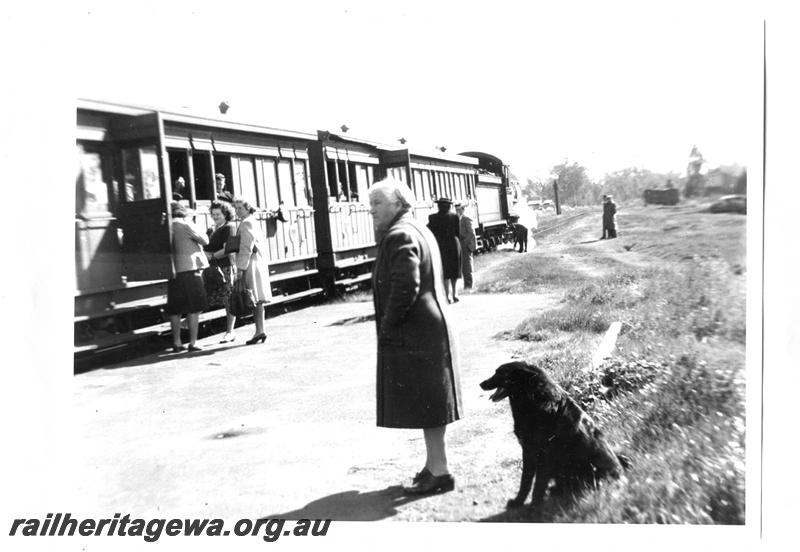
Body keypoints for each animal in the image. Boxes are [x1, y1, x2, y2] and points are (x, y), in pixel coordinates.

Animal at [478, 362, 628, 508]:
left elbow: (538, 486)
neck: (533, 399)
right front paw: (518, 501)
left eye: (500, 373)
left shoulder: (544, 456)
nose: (481, 384)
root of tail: (620, 469)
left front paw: (534, 509)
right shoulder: (528, 452)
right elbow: (525, 481)